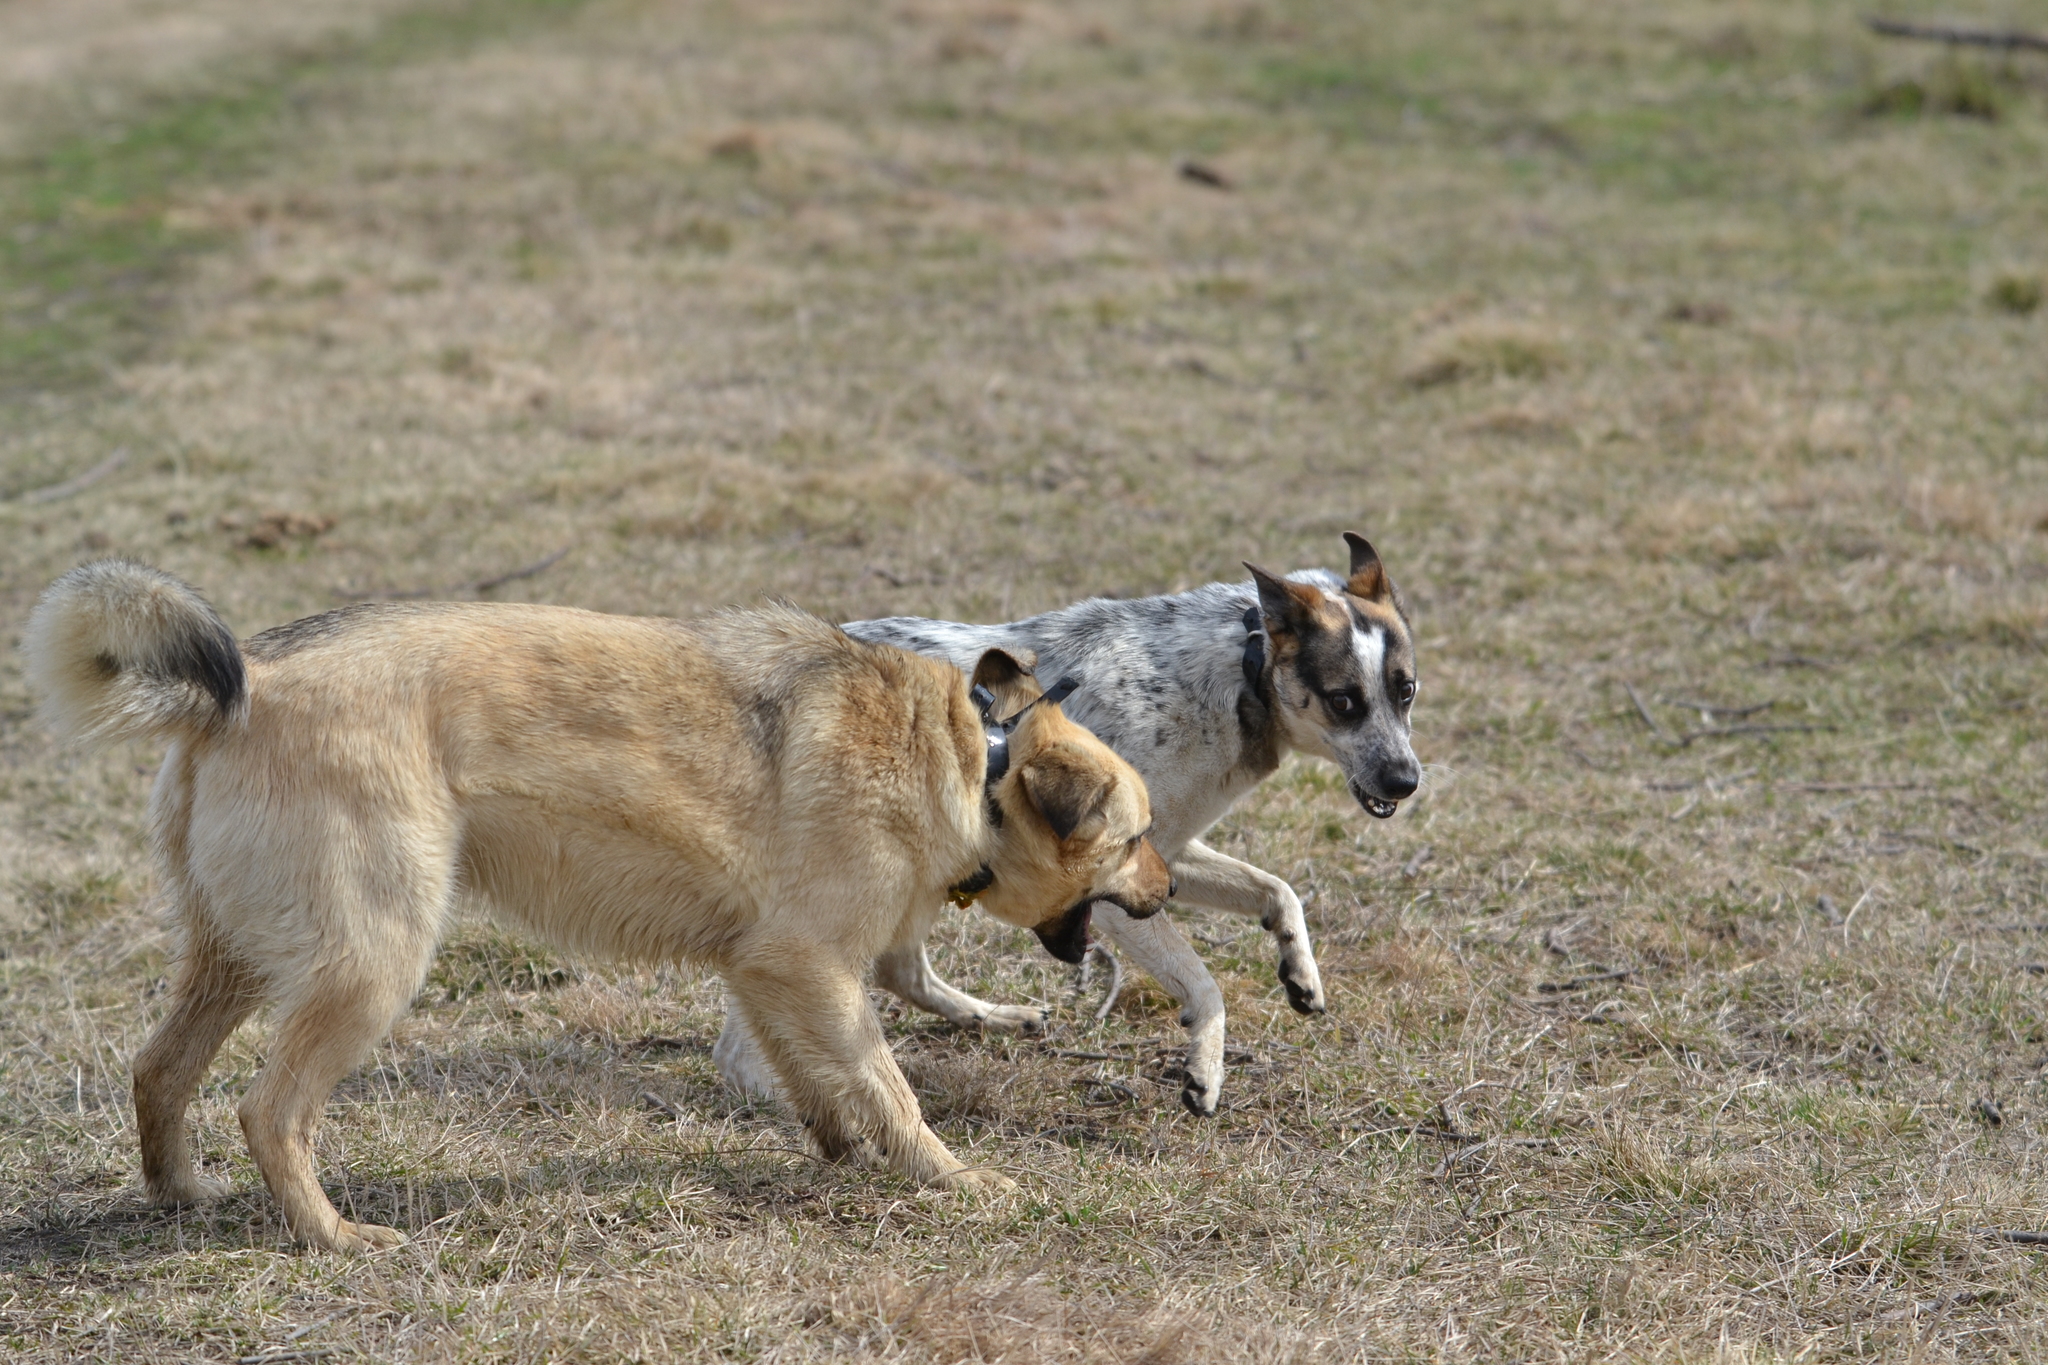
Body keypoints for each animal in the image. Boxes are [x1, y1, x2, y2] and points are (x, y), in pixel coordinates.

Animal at [28, 560, 1171, 1252]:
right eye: (1131, 837)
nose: (1164, 891)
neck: (973, 760)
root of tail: (243, 689)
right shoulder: (811, 968)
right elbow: (893, 1090)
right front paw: (954, 1181)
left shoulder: (769, 973)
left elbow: (824, 1085)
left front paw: (843, 1153)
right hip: (371, 965)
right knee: (270, 1110)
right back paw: (333, 1237)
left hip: (232, 957)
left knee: (159, 1069)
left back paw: (181, 1196)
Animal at [720, 527, 1425, 1113]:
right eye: (1343, 701)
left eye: (1407, 690)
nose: (1407, 781)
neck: (1238, 677)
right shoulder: (1112, 889)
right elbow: (1205, 983)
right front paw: (1206, 1069)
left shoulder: (1169, 852)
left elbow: (1278, 890)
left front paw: (1301, 974)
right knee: (744, 1044)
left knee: (899, 971)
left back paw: (993, 1017)